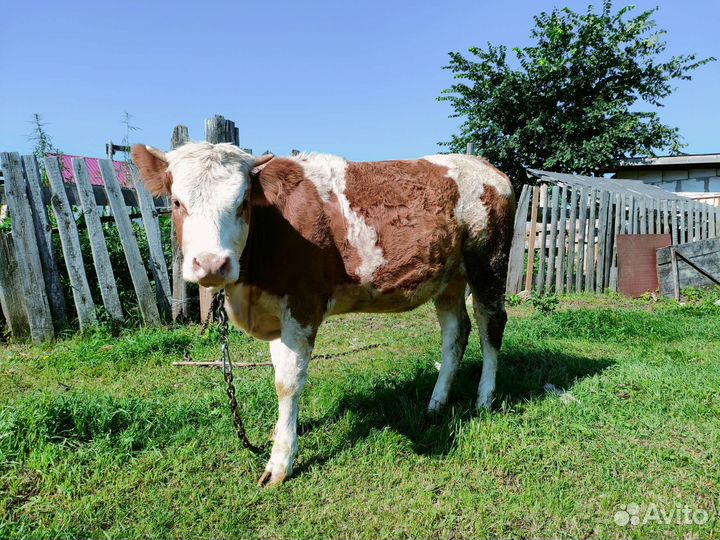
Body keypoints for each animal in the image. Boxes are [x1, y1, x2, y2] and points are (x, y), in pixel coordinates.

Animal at [132, 142, 515, 486]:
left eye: (241, 203)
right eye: (177, 202)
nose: (212, 263)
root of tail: (486, 166)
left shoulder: (302, 305)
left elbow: (287, 382)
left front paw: (280, 462)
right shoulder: (277, 313)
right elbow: (278, 372)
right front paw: (278, 434)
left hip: (488, 263)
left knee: (491, 326)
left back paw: (484, 398)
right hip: (448, 279)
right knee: (455, 334)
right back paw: (436, 403)